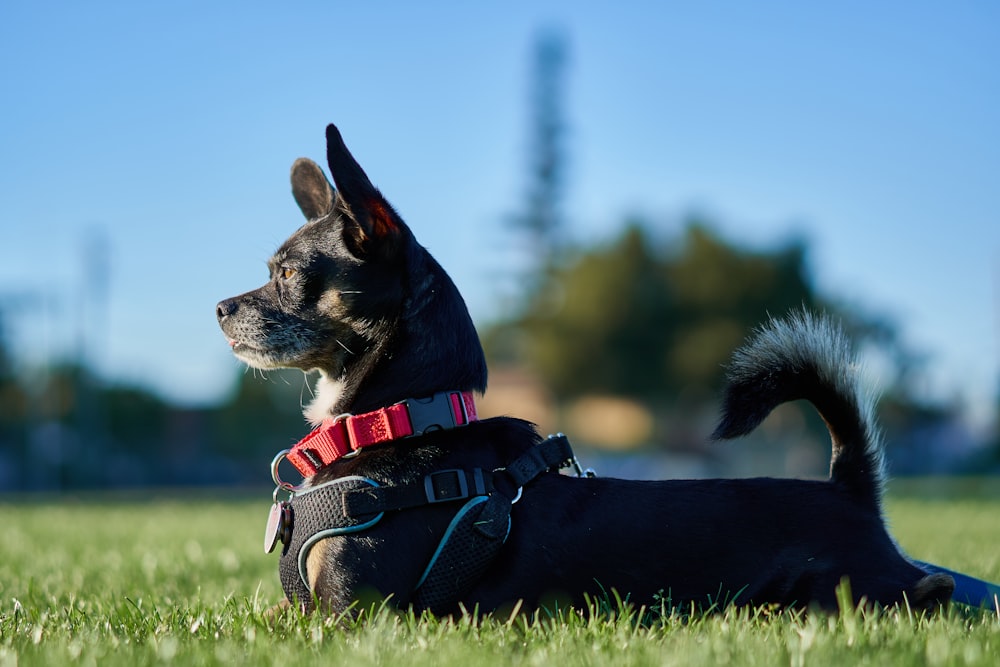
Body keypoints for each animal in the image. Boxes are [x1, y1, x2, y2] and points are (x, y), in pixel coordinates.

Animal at [219, 124, 952, 616]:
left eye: (287, 275)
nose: (220, 307)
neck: (392, 422)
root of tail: (850, 490)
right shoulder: (300, 609)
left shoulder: (353, 614)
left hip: (829, 589)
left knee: (918, 591)